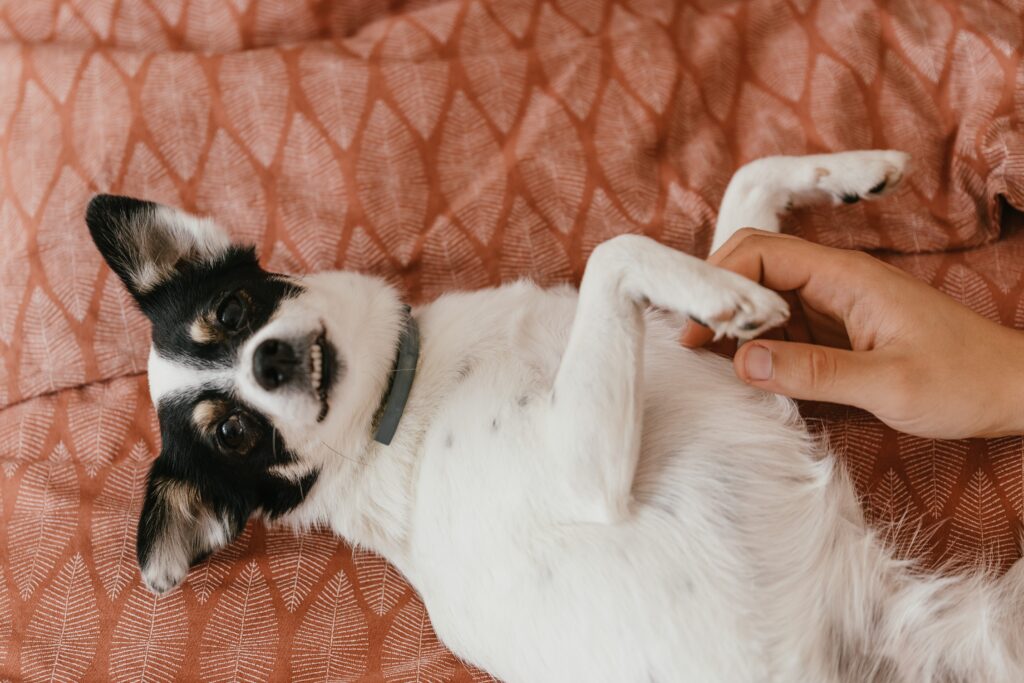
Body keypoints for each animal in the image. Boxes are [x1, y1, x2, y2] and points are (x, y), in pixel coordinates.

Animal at [86, 150, 1024, 683]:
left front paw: (854, 169)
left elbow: (747, 183)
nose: (271, 362)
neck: (403, 398)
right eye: (232, 433)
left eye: (234, 310)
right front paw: (733, 292)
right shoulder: (590, 474)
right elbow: (618, 251)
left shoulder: (688, 344)